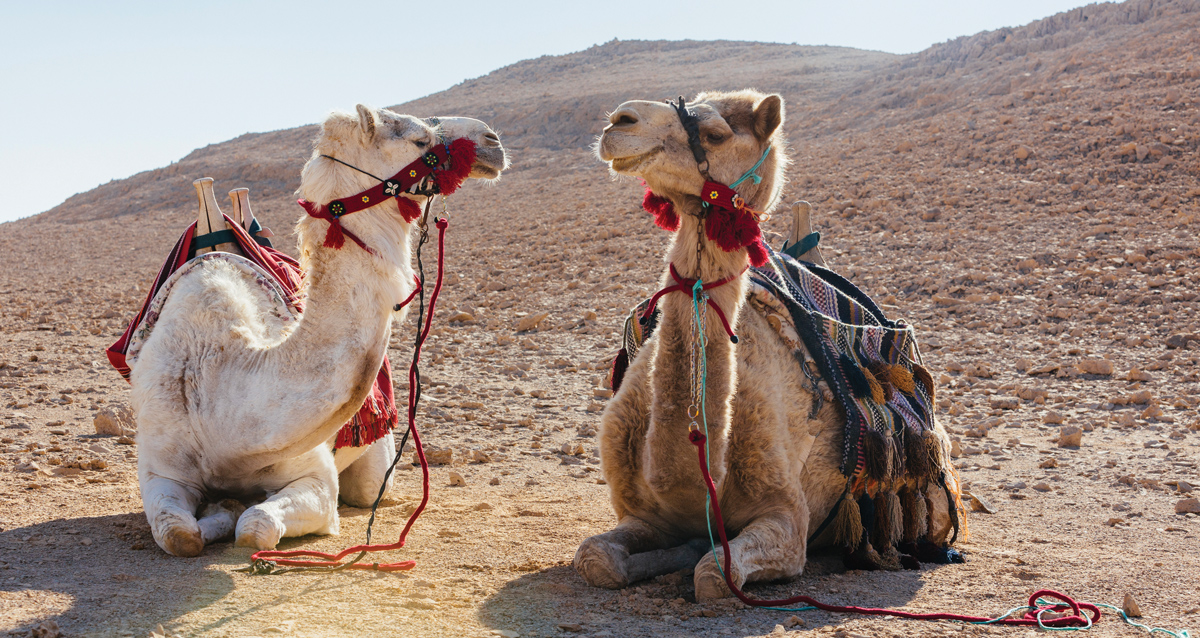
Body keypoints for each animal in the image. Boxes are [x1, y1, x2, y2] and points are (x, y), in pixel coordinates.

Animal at [130, 103, 506, 554]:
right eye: (419, 139)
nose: (491, 139)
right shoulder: (162, 472)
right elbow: (179, 534)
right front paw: (220, 509)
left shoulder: (316, 480)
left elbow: (255, 525)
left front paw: (230, 508)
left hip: (375, 463)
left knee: (366, 488)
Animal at [576, 89, 960, 597]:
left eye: (715, 133)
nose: (619, 121)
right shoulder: (643, 514)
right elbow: (596, 558)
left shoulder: (788, 518)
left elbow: (714, 574)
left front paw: (695, 557)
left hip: (928, 501)